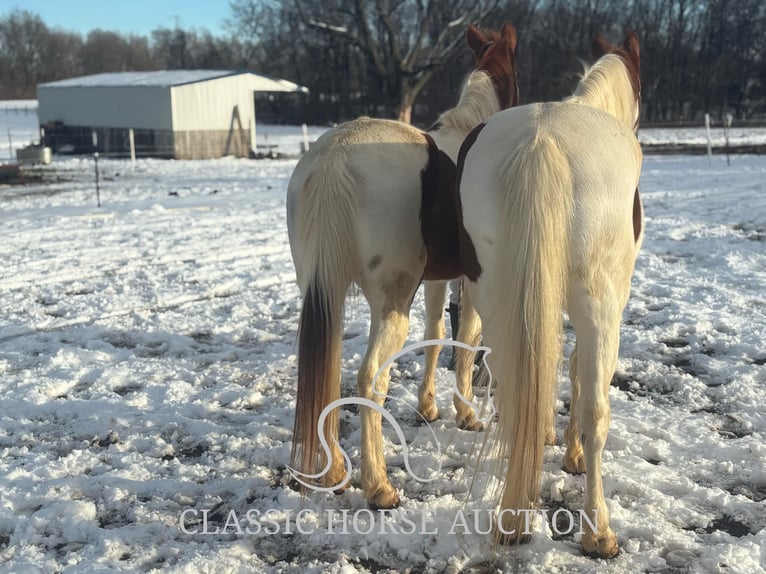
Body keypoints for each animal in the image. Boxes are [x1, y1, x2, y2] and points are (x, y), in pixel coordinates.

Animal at [288, 22, 520, 510]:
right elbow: (466, 339)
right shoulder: (470, 280)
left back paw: (333, 471)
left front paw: (429, 407)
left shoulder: (436, 279)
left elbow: (436, 333)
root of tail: (335, 157)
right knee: (369, 379)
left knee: (329, 372)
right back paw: (378, 486)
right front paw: (465, 414)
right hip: (391, 306)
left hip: (325, 293)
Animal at [460, 32, 644, 560]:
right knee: (596, 411)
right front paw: (572, 454)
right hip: (600, 306)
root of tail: (541, 139)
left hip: (495, 300)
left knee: (512, 387)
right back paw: (598, 531)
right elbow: (580, 377)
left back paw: (512, 516)